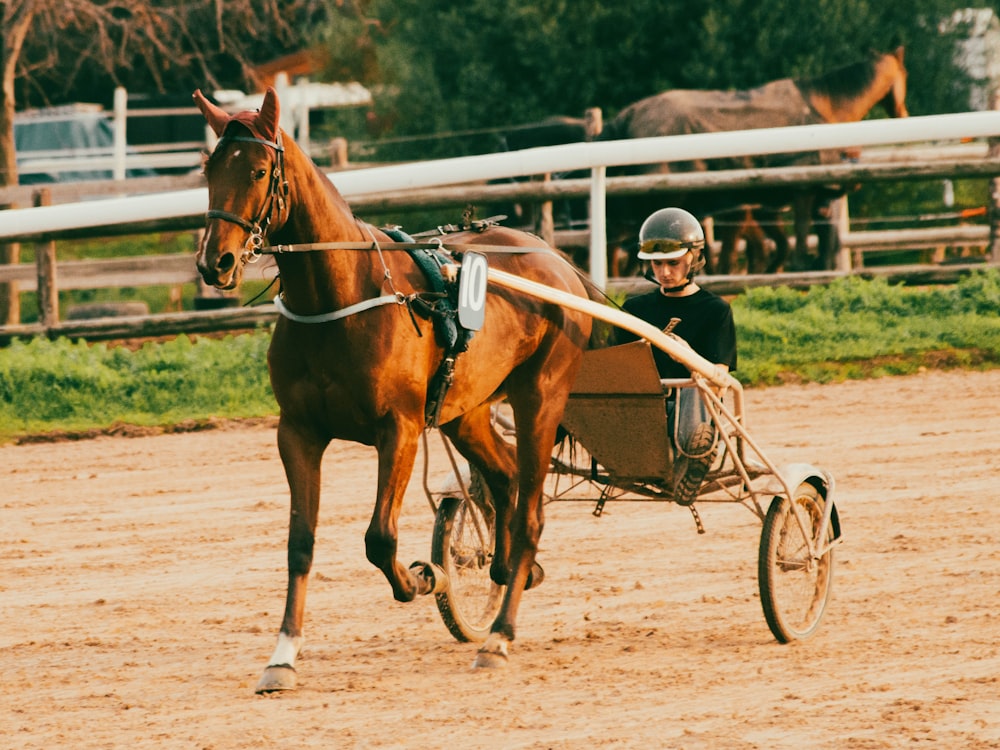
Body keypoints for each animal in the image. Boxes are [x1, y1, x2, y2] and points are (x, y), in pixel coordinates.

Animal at [194, 85, 596, 692]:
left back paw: (499, 636)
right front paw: (282, 655)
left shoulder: (399, 427)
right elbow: (299, 543)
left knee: (529, 510)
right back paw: (506, 572)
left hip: (540, 396)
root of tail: (556, 259)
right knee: (503, 476)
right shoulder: (298, 432)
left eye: (260, 170)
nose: (213, 263)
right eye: (209, 168)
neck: (340, 297)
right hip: (464, 411)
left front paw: (425, 577)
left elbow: (379, 538)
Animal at [596, 45, 912, 274]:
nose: (903, 114)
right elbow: (798, 243)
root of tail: (627, 116)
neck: (821, 108)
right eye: (905, 75)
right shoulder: (802, 192)